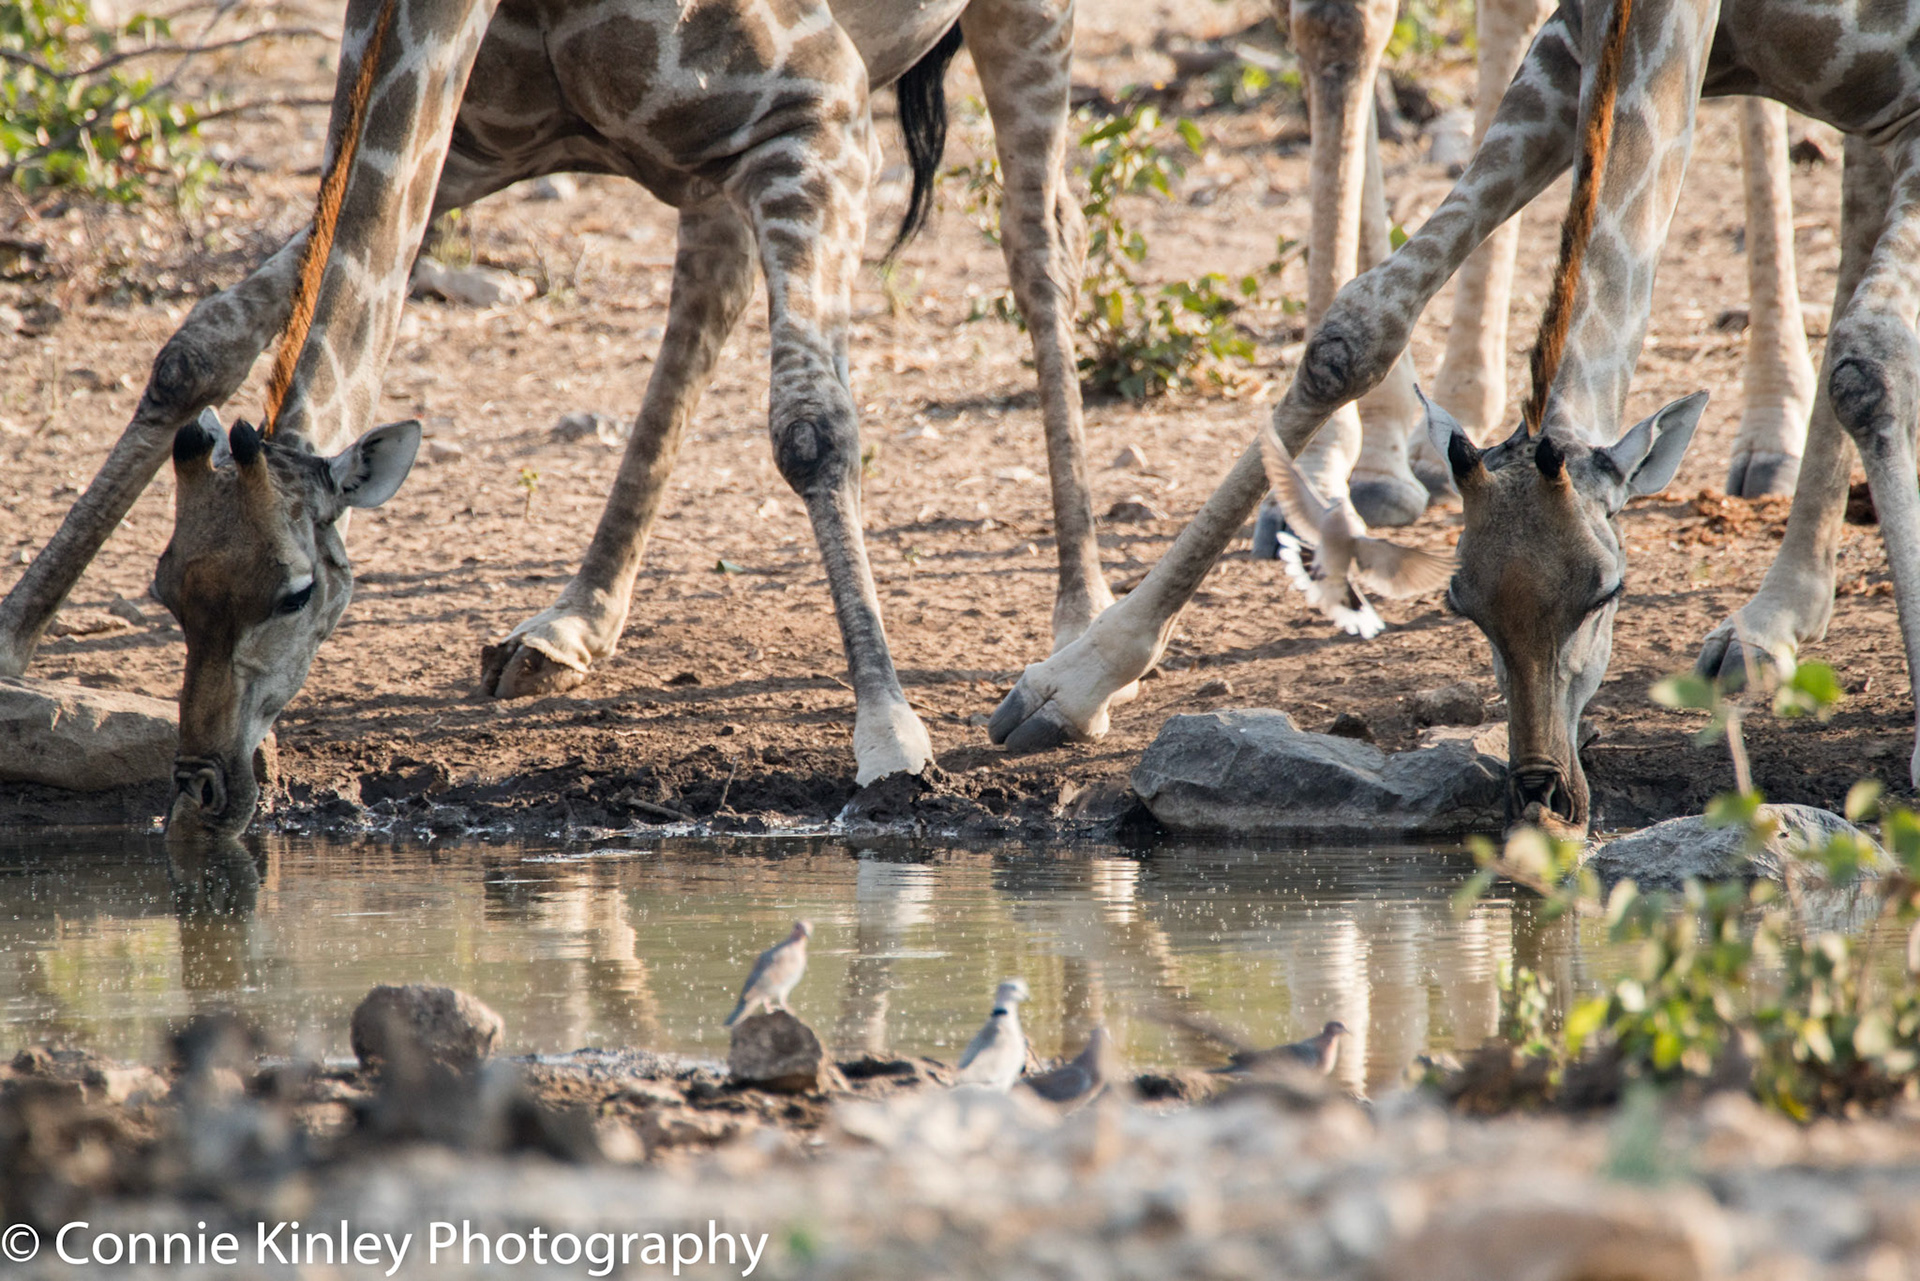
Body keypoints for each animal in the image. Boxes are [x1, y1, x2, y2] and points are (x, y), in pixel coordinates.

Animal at [990, 0, 1920, 829]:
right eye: (1459, 600)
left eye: (1608, 591)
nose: (1545, 794)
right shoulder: (1566, 57)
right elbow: (1359, 324)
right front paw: (1072, 680)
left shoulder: (1903, 94)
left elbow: (1869, 358)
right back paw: (1777, 617)